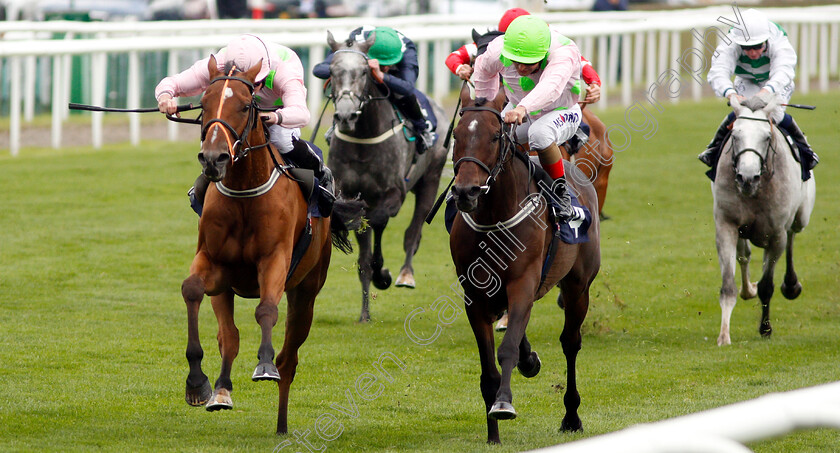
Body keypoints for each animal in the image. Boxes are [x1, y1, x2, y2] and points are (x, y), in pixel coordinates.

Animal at [180, 54, 364, 432]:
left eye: (244, 104)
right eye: (204, 102)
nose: (214, 158)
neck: (244, 192)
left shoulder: (275, 260)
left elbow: (266, 310)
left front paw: (264, 365)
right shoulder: (216, 266)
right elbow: (192, 291)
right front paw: (198, 384)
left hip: (307, 290)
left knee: (289, 358)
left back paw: (281, 423)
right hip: (228, 290)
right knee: (230, 337)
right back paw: (221, 391)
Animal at [324, 30, 450, 322]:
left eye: (363, 72)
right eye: (333, 71)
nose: (345, 115)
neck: (363, 140)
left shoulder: (393, 194)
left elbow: (379, 222)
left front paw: (382, 273)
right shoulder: (351, 197)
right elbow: (362, 250)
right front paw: (365, 313)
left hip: (431, 178)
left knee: (413, 230)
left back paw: (405, 274)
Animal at [450, 85, 600, 442]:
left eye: (494, 136)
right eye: (456, 135)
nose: (465, 191)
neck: (494, 216)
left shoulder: (523, 283)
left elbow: (507, 349)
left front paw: (503, 404)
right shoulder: (474, 296)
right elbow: (488, 368)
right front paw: (492, 435)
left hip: (578, 287)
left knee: (570, 342)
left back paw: (571, 415)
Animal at [712, 93, 816, 344]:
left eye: (766, 137)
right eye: (735, 135)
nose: (747, 177)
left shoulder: (776, 234)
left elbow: (767, 286)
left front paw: (765, 329)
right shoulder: (726, 225)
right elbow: (728, 286)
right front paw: (724, 336)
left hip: (801, 217)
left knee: (792, 235)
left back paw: (791, 285)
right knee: (744, 254)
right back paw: (748, 288)